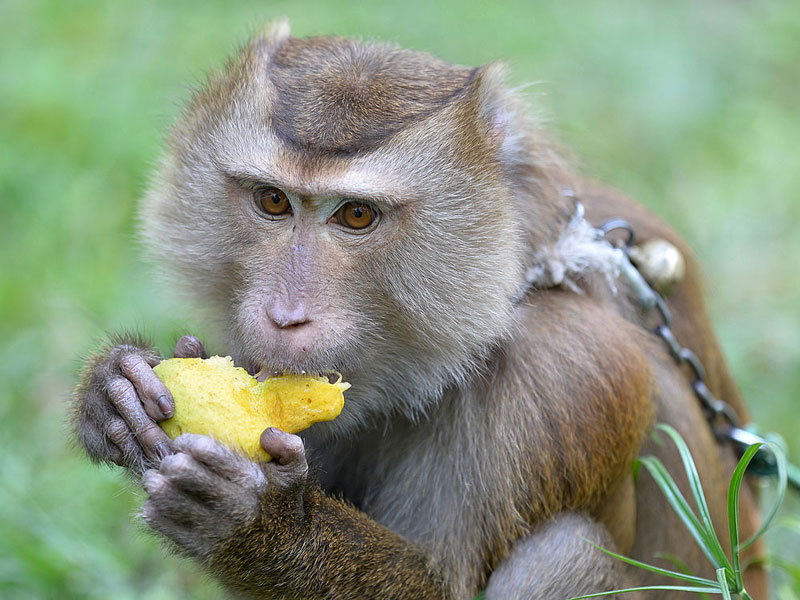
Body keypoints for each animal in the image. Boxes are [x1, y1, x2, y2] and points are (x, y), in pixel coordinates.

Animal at [72, 21, 764, 596]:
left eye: (356, 215)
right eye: (272, 201)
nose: (284, 316)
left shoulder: (565, 375)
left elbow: (447, 584)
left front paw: (254, 519)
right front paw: (115, 385)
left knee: (568, 553)